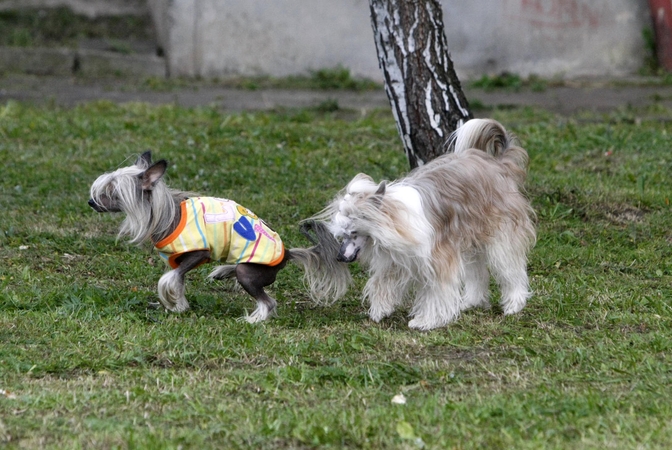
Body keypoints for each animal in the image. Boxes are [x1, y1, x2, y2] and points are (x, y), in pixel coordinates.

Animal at [89, 153, 350, 322]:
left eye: (111, 191)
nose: (90, 202)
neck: (166, 215)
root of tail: (287, 254)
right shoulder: (179, 262)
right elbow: (178, 281)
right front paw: (179, 306)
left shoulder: (198, 253)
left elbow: (169, 279)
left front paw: (170, 300)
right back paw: (223, 271)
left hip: (249, 272)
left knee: (267, 301)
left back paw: (253, 319)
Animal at [310, 118, 536, 330]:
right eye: (342, 234)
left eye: (354, 231)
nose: (339, 257)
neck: (395, 219)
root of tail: (497, 163)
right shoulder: (400, 258)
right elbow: (384, 280)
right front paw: (380, 308)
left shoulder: (438, 257)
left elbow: (436, 292)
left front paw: (427, 320)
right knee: (477, 271)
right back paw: (471, 301)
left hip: (501, 234)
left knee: (510, 268)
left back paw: (514, 303)